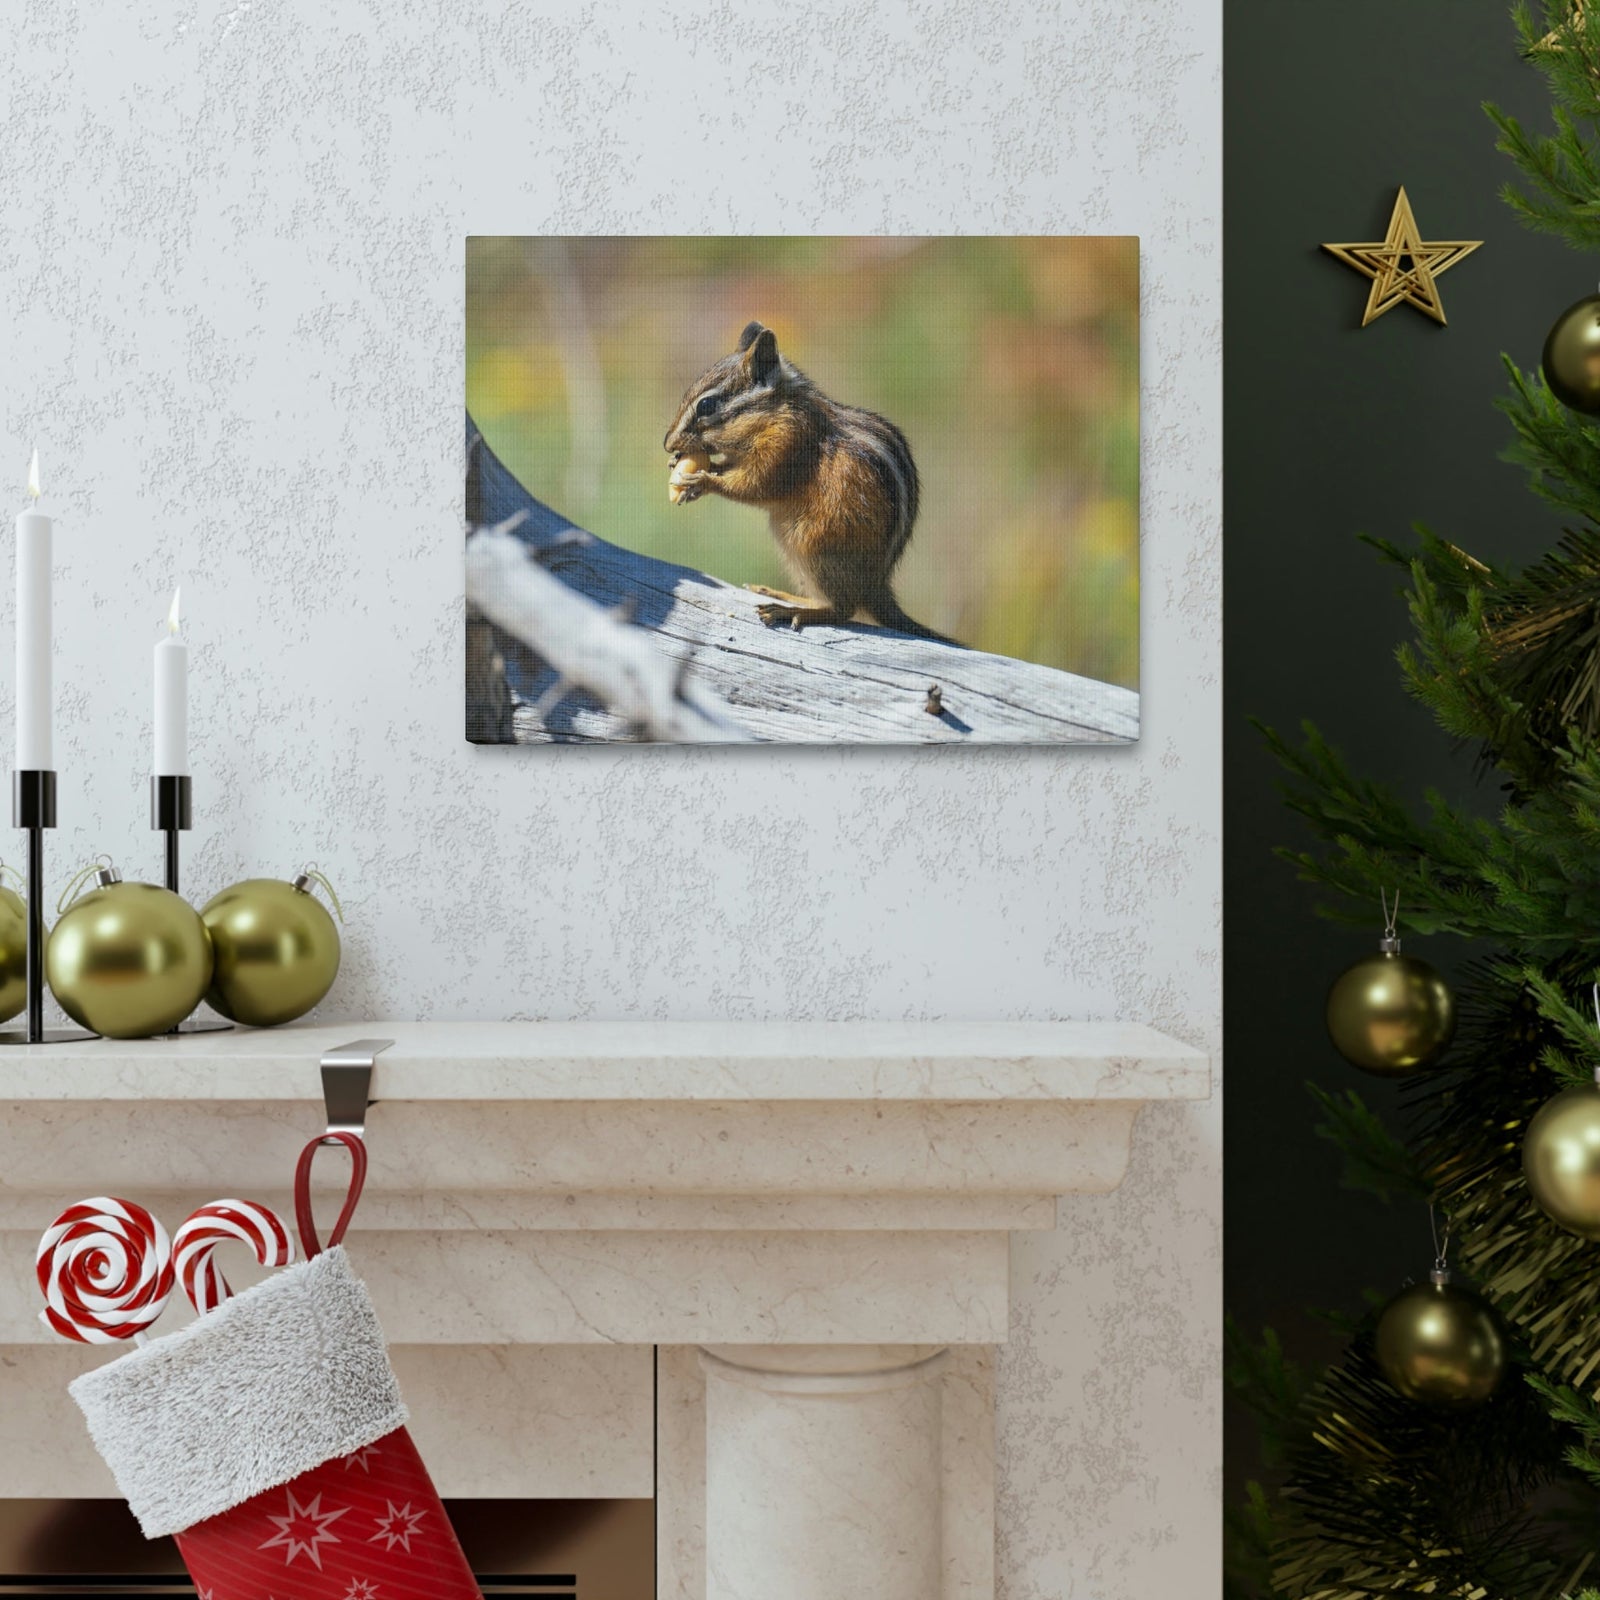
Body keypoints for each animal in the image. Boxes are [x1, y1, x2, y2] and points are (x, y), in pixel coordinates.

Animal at [663, 321, 955, 642]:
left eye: (706, 405)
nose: (668, 443)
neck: (776, 412)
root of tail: (875, 587)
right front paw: (685, 466)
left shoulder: (788, 445)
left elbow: (756, 485)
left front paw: (702, 481)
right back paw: (781, 595)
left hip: (816, 547)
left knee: (843, 610)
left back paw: (791, 611)